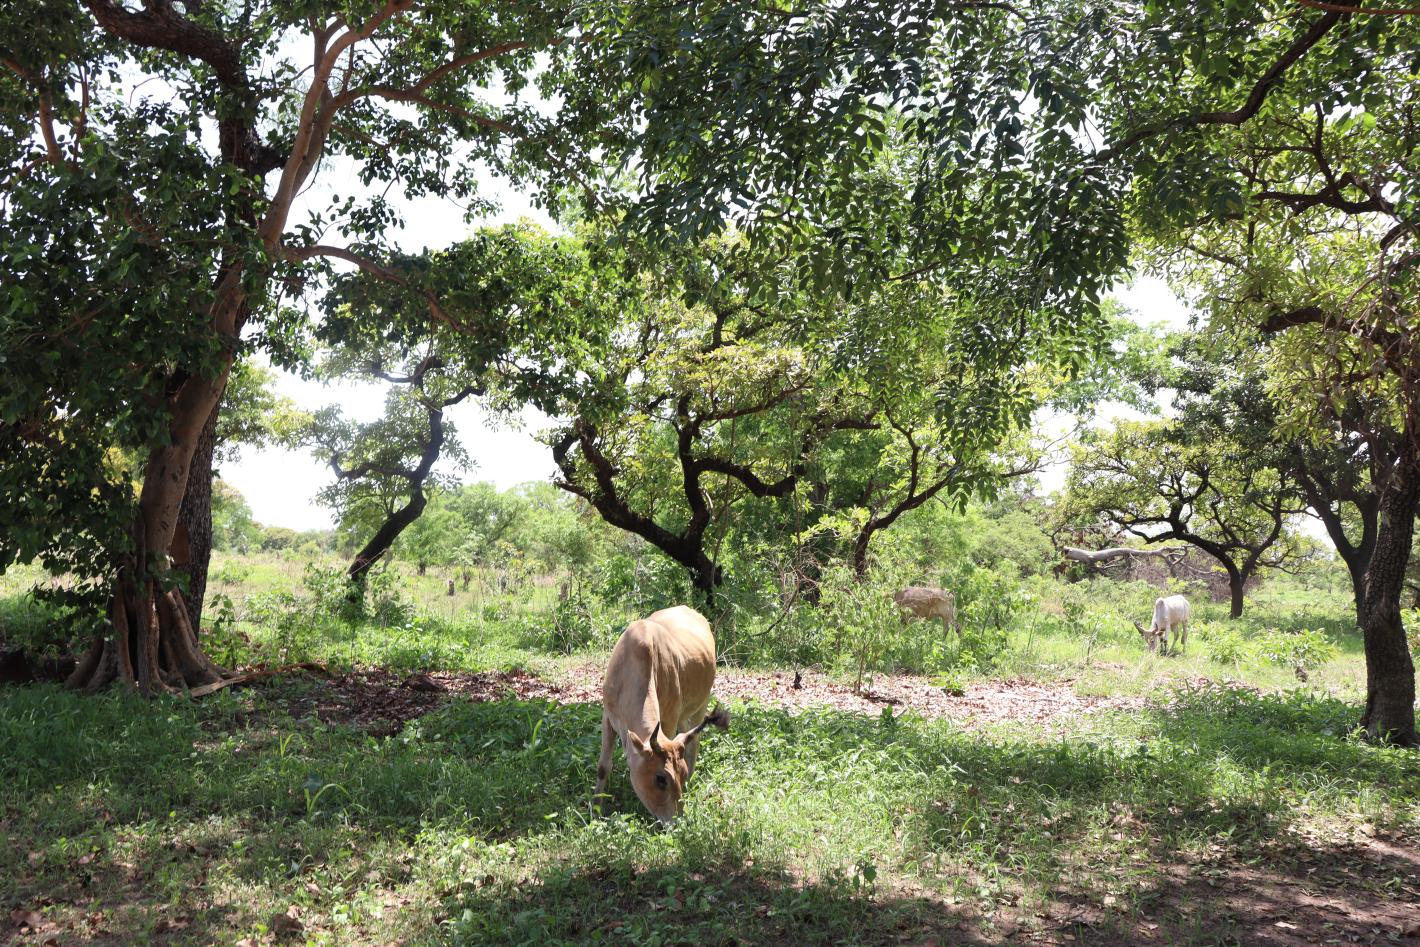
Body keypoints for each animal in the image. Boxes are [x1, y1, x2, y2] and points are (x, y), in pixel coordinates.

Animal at [595, 605, 729, 823]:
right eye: (661, 779)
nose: (677, 820)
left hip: (701, 703)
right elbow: (603, 767)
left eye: (682, 774)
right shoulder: (608, 717)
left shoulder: (668, 718)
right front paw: (595, 809)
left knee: (695, 742)